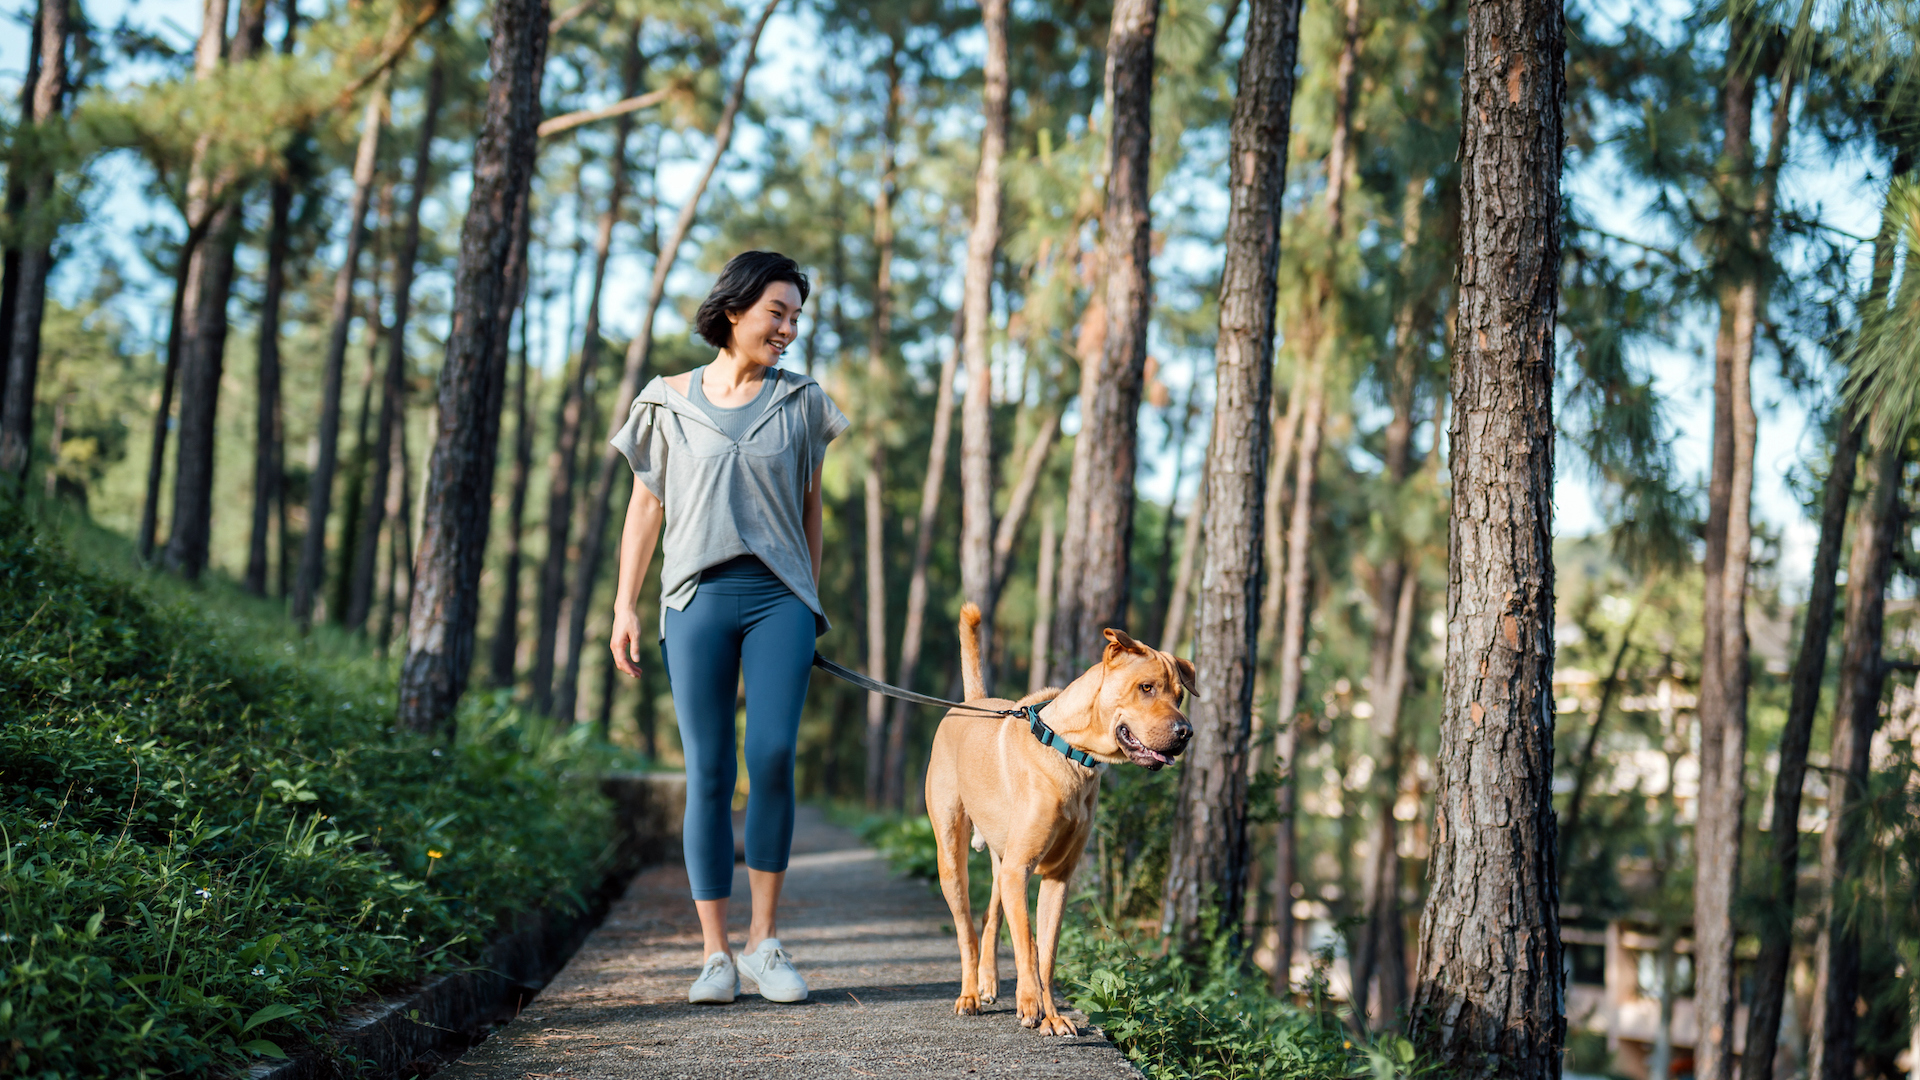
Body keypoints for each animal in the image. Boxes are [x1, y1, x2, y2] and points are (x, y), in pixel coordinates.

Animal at [921, 599, 1190, 1030]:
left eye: (1180, 695)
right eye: (1146, 687)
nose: (1186, 732)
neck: (1072, 753)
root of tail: (971, 702)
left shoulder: (1057, 877)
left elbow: (1046, 953)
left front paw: (1052, 1016)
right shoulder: (1020, 870)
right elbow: (1028, 947)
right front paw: (1030, 1004)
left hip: (1002, 861)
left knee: (990, 917)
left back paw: (988, 982)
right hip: (952, 856)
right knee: (966, 929)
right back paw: (968, 994)